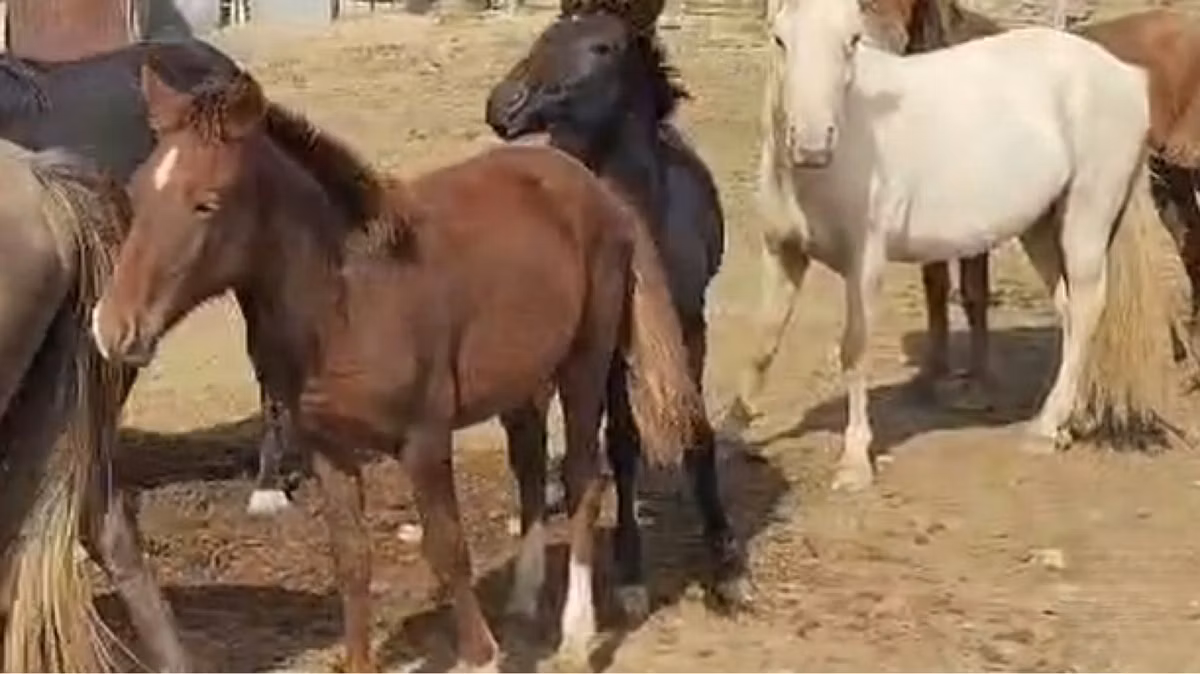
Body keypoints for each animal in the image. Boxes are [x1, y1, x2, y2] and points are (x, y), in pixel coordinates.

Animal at [91, 62, 706, 671]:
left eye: (207, 202)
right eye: (136, 193)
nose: (113, 327)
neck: (347, 301)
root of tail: (597, 188)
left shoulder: (424, 439)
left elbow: (448, 549)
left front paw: (483, 656)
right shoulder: (329, 449)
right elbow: (352, 562)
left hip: (586, 361)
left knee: (582, 476)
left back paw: (577, 635)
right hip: (521, 382)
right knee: (531, 470)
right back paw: (526, 599)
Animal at [485, 5, 749, 612]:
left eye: (602, 47)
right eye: (546, 34)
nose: (502, 105)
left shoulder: (692, 327)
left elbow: (697, 431)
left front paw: (726, 562)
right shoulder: (609, 344)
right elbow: (622, 445)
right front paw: (630, 571)